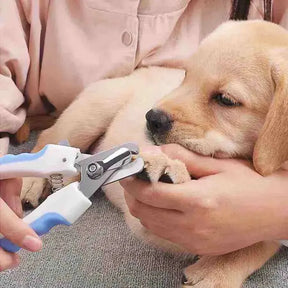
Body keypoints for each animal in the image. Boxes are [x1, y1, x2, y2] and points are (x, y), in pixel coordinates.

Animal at [20, 19, 288, 286]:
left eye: (226, 100)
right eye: (186, 76)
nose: (152, 118)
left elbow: (255, 246)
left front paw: (215, 273)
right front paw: (168, 168)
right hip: (92, 112)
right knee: (50, 139)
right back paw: (31, 182)